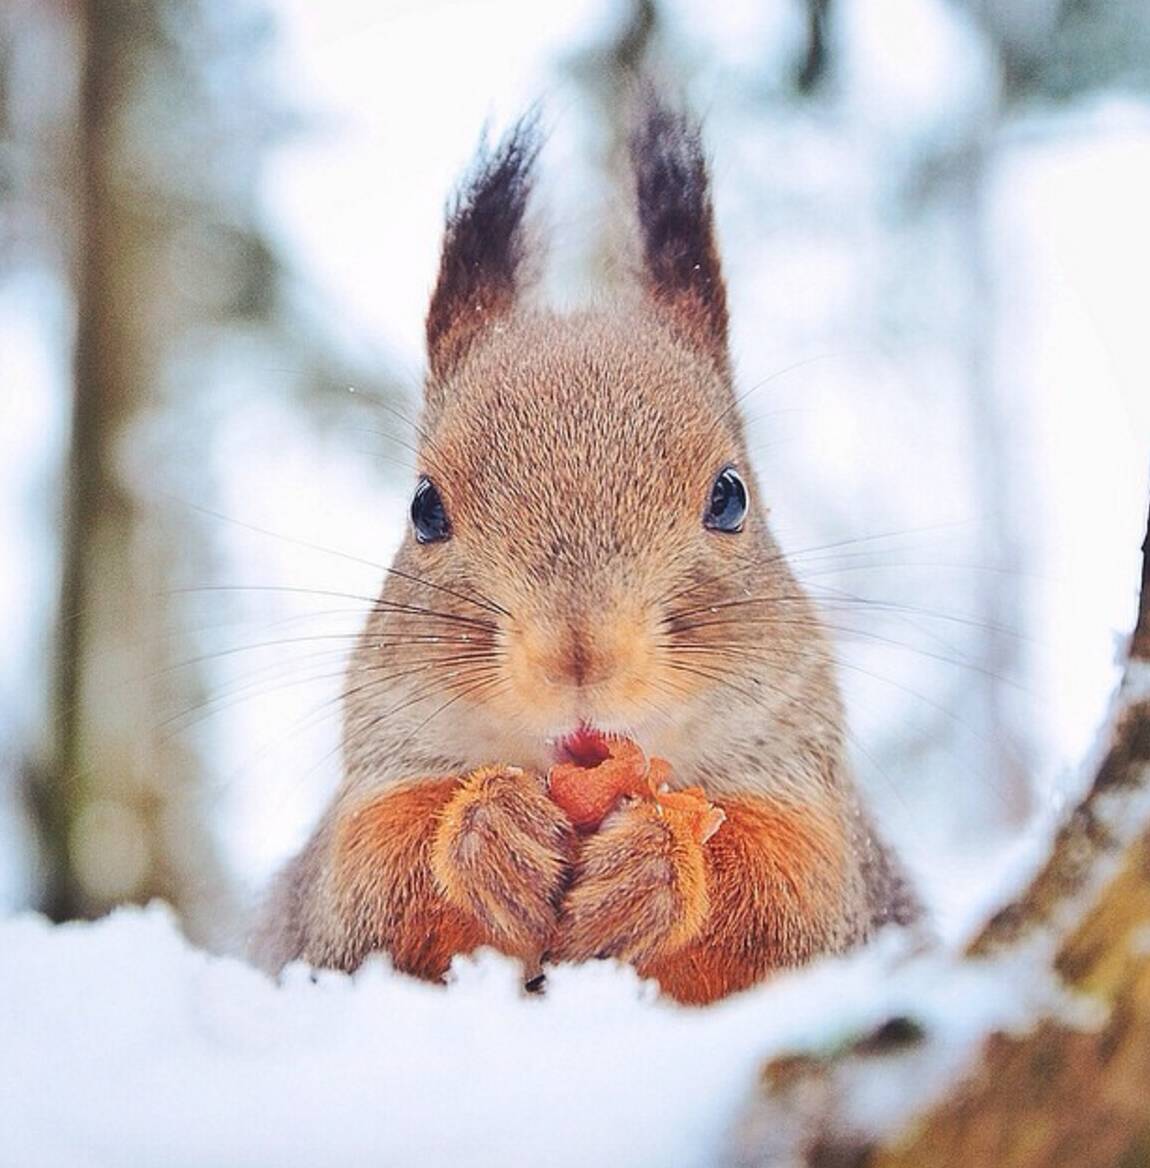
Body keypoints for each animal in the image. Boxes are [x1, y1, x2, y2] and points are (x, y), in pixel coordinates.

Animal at [255, 95, 920, 1009]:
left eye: (730, 496)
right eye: (424, 509)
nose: (579, 652)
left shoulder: (823, 834)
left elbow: (786, 896)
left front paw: (656, 864)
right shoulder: (343, 863)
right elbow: (371, 879)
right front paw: (491, 830)